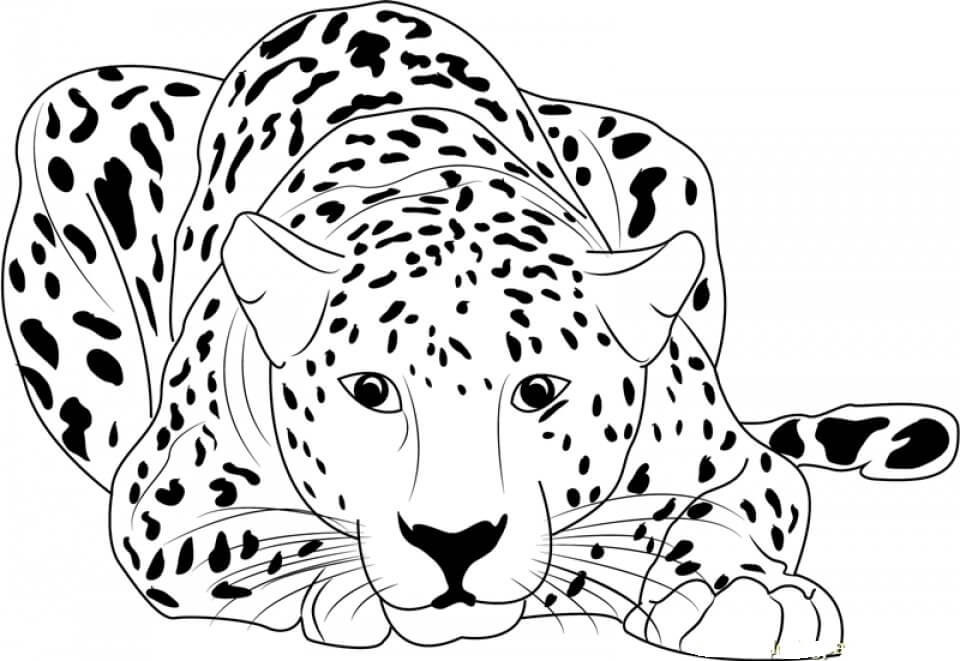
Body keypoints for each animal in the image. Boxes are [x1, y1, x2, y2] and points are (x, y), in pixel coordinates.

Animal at [3, 2, 956, 657]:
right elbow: (262, 544)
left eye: (538, 391)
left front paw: (737, 599)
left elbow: (717, 515)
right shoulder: (167, 503)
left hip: (665, 156)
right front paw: (356, 593)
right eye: (370, 390)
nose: (453, 544)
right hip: (72, 120)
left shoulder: (735, 462)